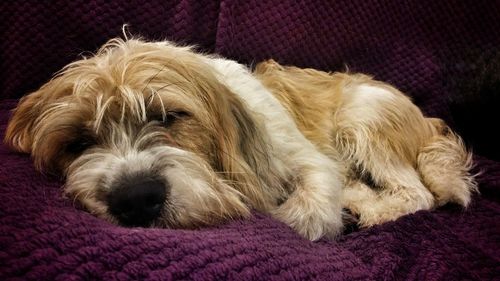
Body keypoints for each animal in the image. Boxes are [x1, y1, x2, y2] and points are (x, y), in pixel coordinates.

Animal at [3, 37, 476, 240]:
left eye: (169, 116)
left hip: (362, 118)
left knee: (417, 193)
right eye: (77, 142)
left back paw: (372, 212)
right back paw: (359, 203)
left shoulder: (311, 161)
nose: (135, 199)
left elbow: (302, 214)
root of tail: (429, 120)